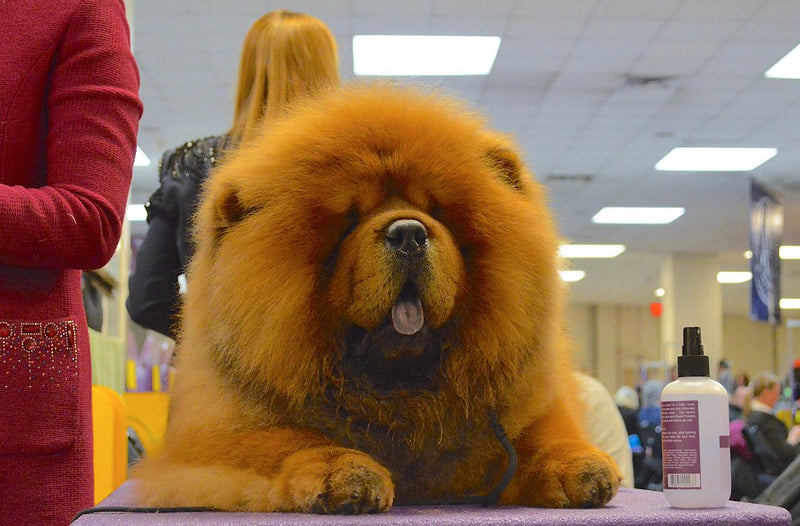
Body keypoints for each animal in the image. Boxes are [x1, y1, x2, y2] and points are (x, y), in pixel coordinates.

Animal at [130, 83, 620, 516]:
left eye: (437, 212)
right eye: (349, 219)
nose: (409, 233)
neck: (399, 394)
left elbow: (541, 437)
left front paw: (581, 466)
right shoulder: (207, 444)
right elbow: (281, 440)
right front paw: (345, 473)